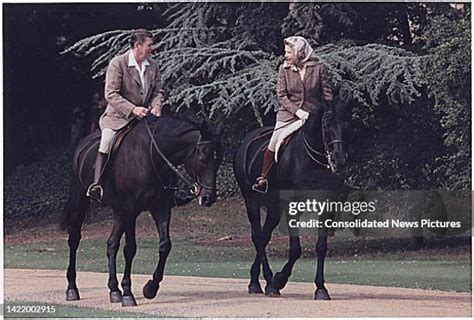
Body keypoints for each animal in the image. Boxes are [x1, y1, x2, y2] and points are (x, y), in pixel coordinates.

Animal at [60, 115, 223, 308]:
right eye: (203, 157)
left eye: (219, 160)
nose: (208, 198)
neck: (152, 157)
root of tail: (82, 144)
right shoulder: (131, 211)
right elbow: (130, 249)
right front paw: (128, 294)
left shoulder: (161, 208)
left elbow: (165, 245)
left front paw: (150, 288)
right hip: (83, 202)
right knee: (74, 240)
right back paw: (72, 288)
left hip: (119, 213)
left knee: (111, 244)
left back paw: (114, 290)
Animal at [235, 107, 346, 300]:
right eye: (325, 125)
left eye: (344, 124)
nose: (339, 160)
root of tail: (246, 141)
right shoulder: (291, 207)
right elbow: (295, 250)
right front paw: (279, 280)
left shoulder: (326, 206)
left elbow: (321, 247)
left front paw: (321, 288)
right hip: (251, 201)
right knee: (258, 236)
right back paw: (267, 280)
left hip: (274, 208)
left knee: (264, 236)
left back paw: (256, 281)